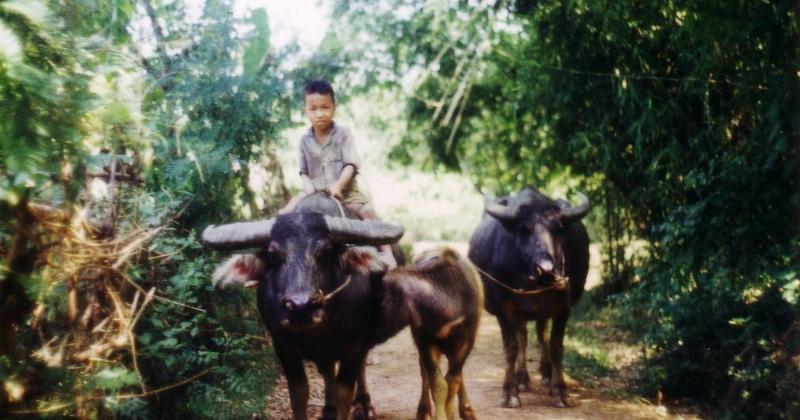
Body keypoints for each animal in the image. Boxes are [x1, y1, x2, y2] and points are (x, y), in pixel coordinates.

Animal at [203, 193, 406, 420]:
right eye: (273, 255)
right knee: (327, 370)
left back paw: (363, 405)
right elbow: (299, 393)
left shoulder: (355, 343)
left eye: (325, 252)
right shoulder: (282, 346)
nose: (301, 307)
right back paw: (329, 409)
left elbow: (345, 390)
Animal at [466, 186, 592, 406]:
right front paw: (509, 393)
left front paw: (560, 390)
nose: (546, 270)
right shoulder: (504, 309)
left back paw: (546, 374)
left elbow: (556, 346)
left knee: (541, 334)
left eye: (558, 228)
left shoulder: (563, 307)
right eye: (524, 229)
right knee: (523, 337)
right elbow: (511, 348)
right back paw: (522, 378)